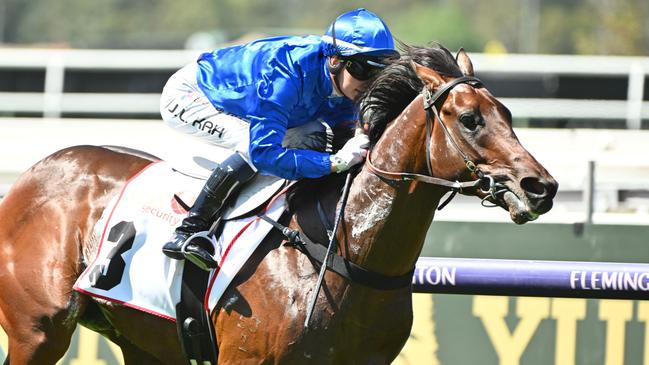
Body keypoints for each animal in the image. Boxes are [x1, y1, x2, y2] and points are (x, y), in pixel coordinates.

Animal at [0, 46, 556, 364]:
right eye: (470, 119)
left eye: (507, 114)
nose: (541, 187)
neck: (343, 248)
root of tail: (31, 176)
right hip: (38, 332)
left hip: (144, 341)